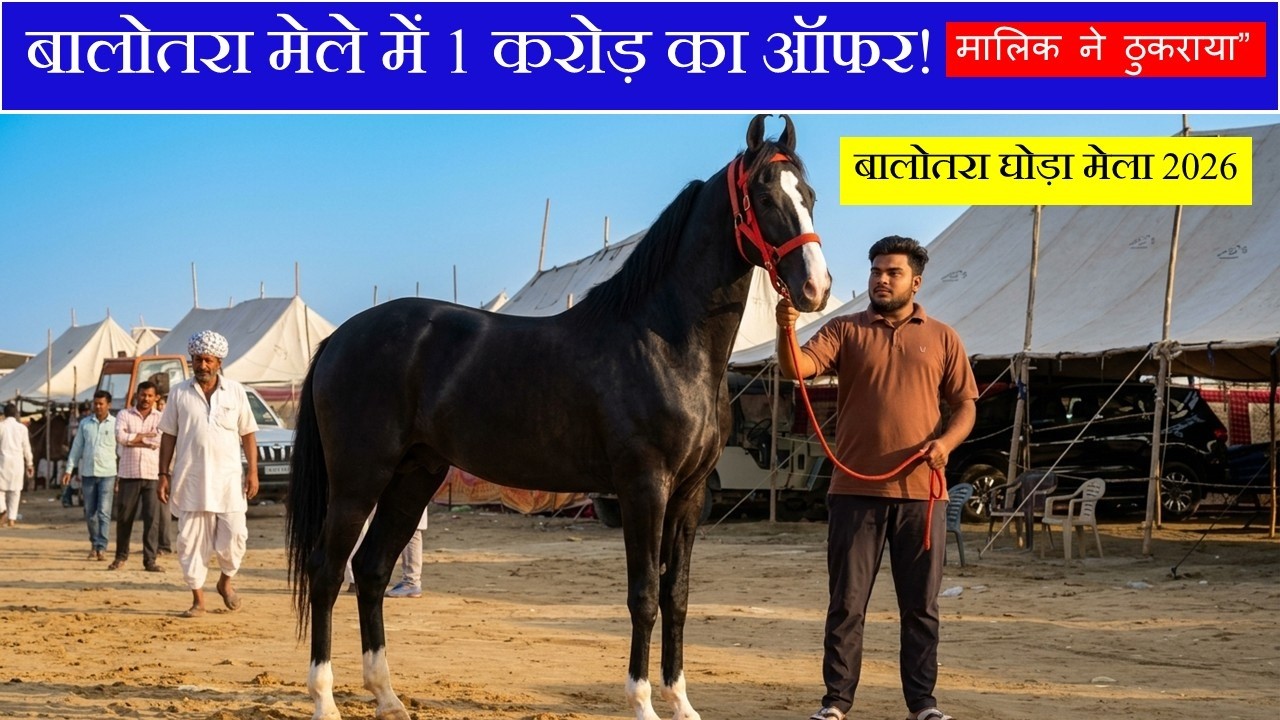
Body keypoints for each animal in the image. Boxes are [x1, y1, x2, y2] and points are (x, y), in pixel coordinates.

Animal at [285, 114, 832, 720]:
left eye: (809, 196)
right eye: (764, 194)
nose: (815, 287)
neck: (666, 342)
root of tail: (339, 338)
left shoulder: (690, 494)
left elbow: (677, 595)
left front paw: (681, 702)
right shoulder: (645, 487)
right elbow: (644, 595)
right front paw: (642, 703)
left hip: (415, 475)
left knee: (372, 569)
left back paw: (388, 697)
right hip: (359, 479)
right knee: (327, 571)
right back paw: (325, 700)